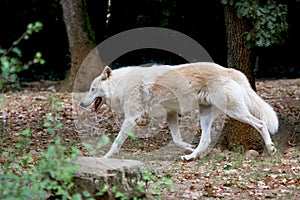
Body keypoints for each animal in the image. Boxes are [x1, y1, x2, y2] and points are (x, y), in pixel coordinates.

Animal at [80, 61, 278, 160]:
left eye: (92, 89)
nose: (81, 103)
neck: (120, 85)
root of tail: (229, 70)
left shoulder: (131, 119)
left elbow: (116, 142)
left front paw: (106, 157)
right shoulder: (171, 114)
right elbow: (176, 139)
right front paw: (188, 147)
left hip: (235, 112)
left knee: (261, 123)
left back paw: (271, 148)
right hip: (206, 116)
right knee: (206, 139)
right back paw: (191, 156)